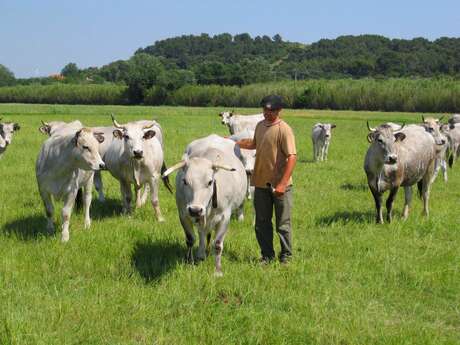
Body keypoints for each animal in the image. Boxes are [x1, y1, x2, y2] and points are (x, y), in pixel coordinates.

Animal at [163, 133, 248, 276]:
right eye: (185, 181)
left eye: (210, 182)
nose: (195, 210)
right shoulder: (183, 214)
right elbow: (190, 239)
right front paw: (190, 262)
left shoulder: (225, 217)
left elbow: (218, 244)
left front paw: (218, 271)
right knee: (202, 233)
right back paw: (201, 254)